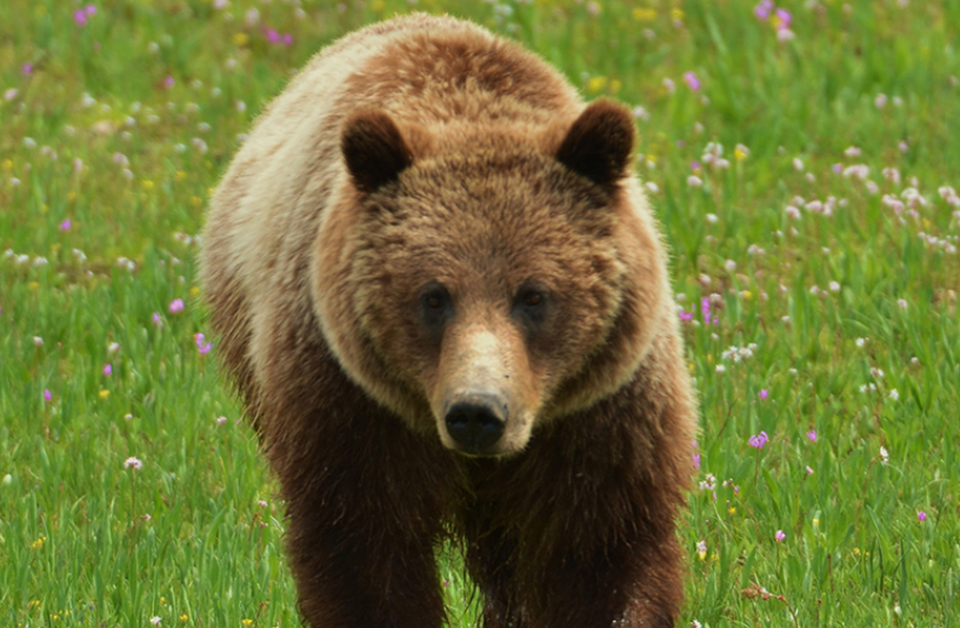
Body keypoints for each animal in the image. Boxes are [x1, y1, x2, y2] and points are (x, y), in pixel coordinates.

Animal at [200, 13, 697, 628]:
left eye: (534, 295)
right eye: (434, 297)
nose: (477, 413)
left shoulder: (603, 413)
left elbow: (602, 549)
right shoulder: (350, 404)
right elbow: (365, 549)